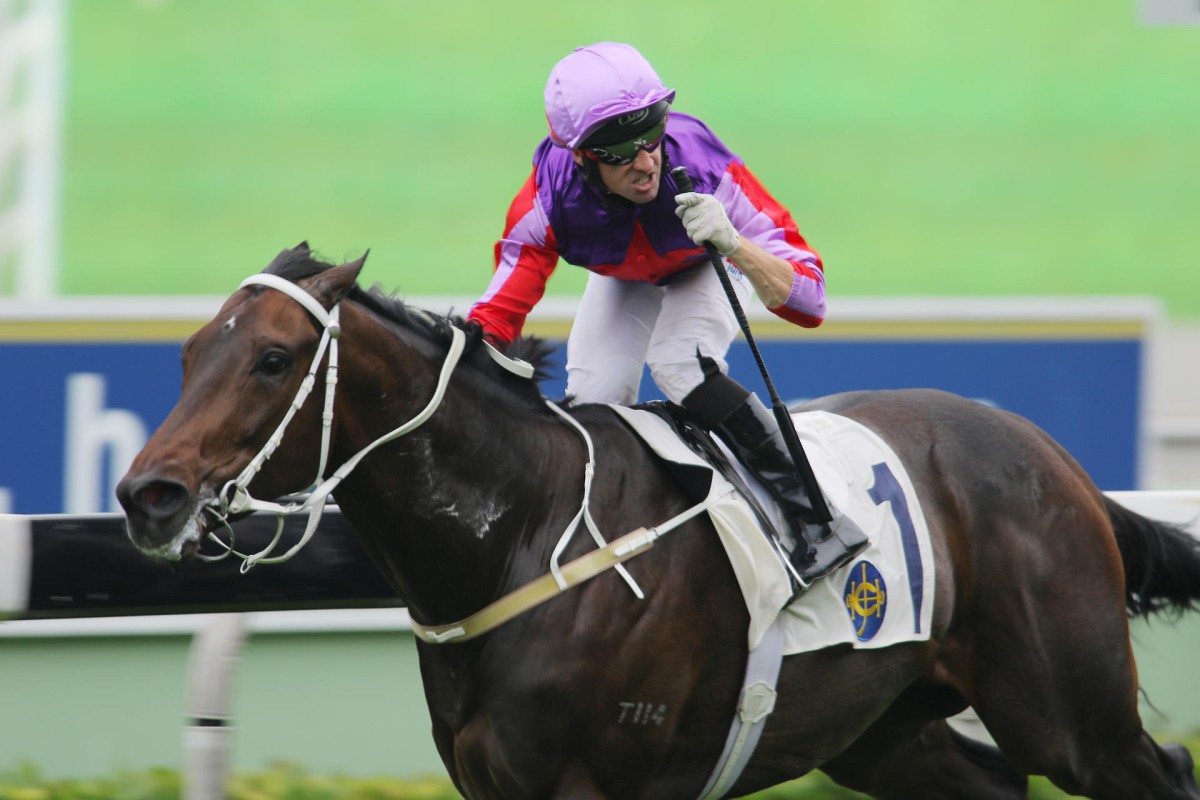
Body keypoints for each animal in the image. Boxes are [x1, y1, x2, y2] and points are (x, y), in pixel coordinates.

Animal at [119, 245, 1200, 800]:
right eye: (186, 354)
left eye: (270, 359)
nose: (148, 495)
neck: (519, 535)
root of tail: (1055, 458)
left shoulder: (596, 785)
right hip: (887, 730)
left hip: (1071, 715)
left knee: (1160, 768)